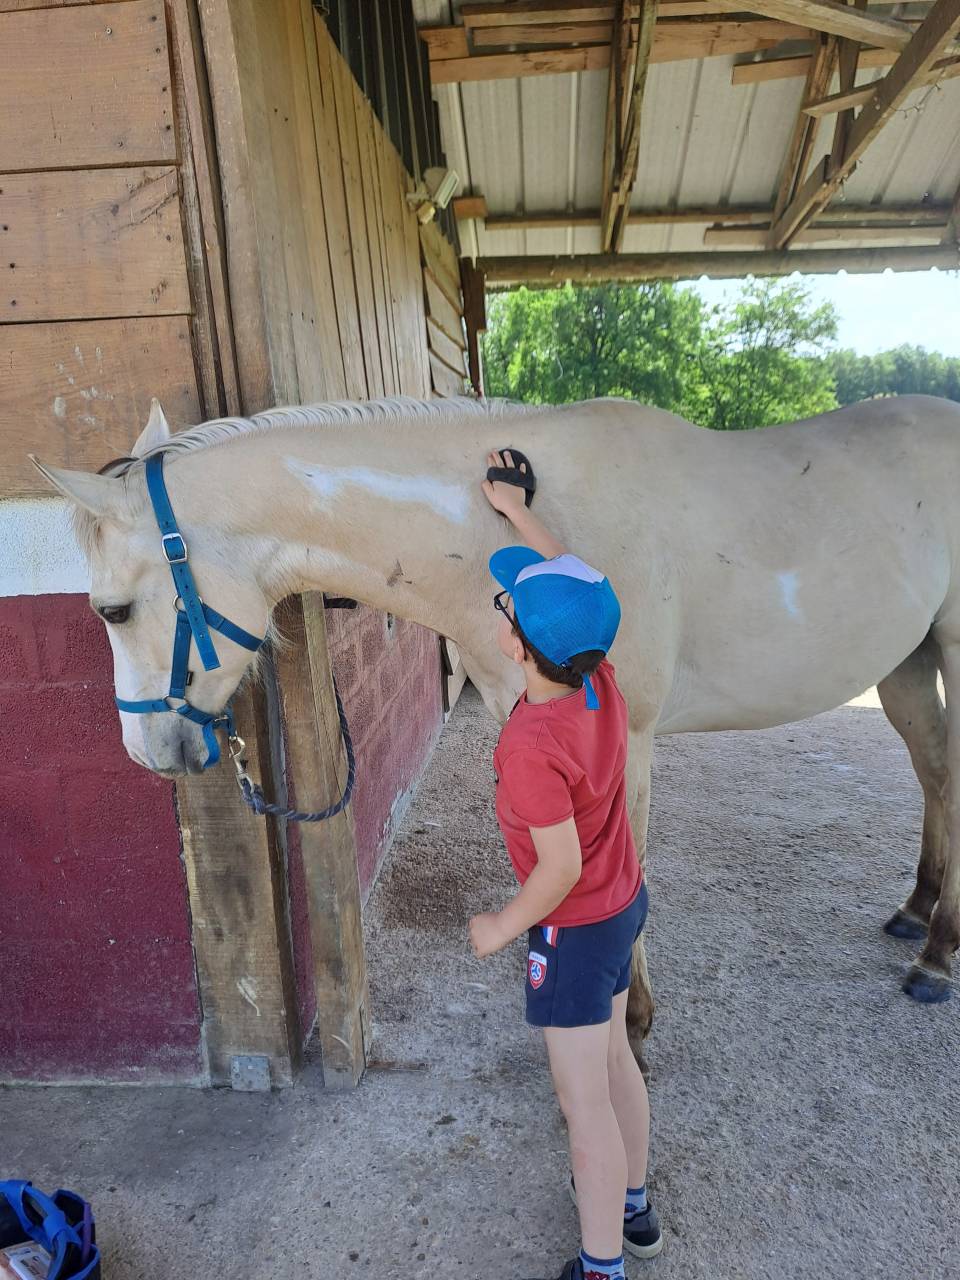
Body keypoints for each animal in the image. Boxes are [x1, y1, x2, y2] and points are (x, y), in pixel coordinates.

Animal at [31, 391, 960, 1037]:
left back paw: (937, 957)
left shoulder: (627, 739)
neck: (506, 531)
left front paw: (629, 1018)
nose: (152, 750)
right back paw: (919, 918)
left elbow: (621, 870)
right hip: (908, 665)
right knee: (938, 777)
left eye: (113, 610)